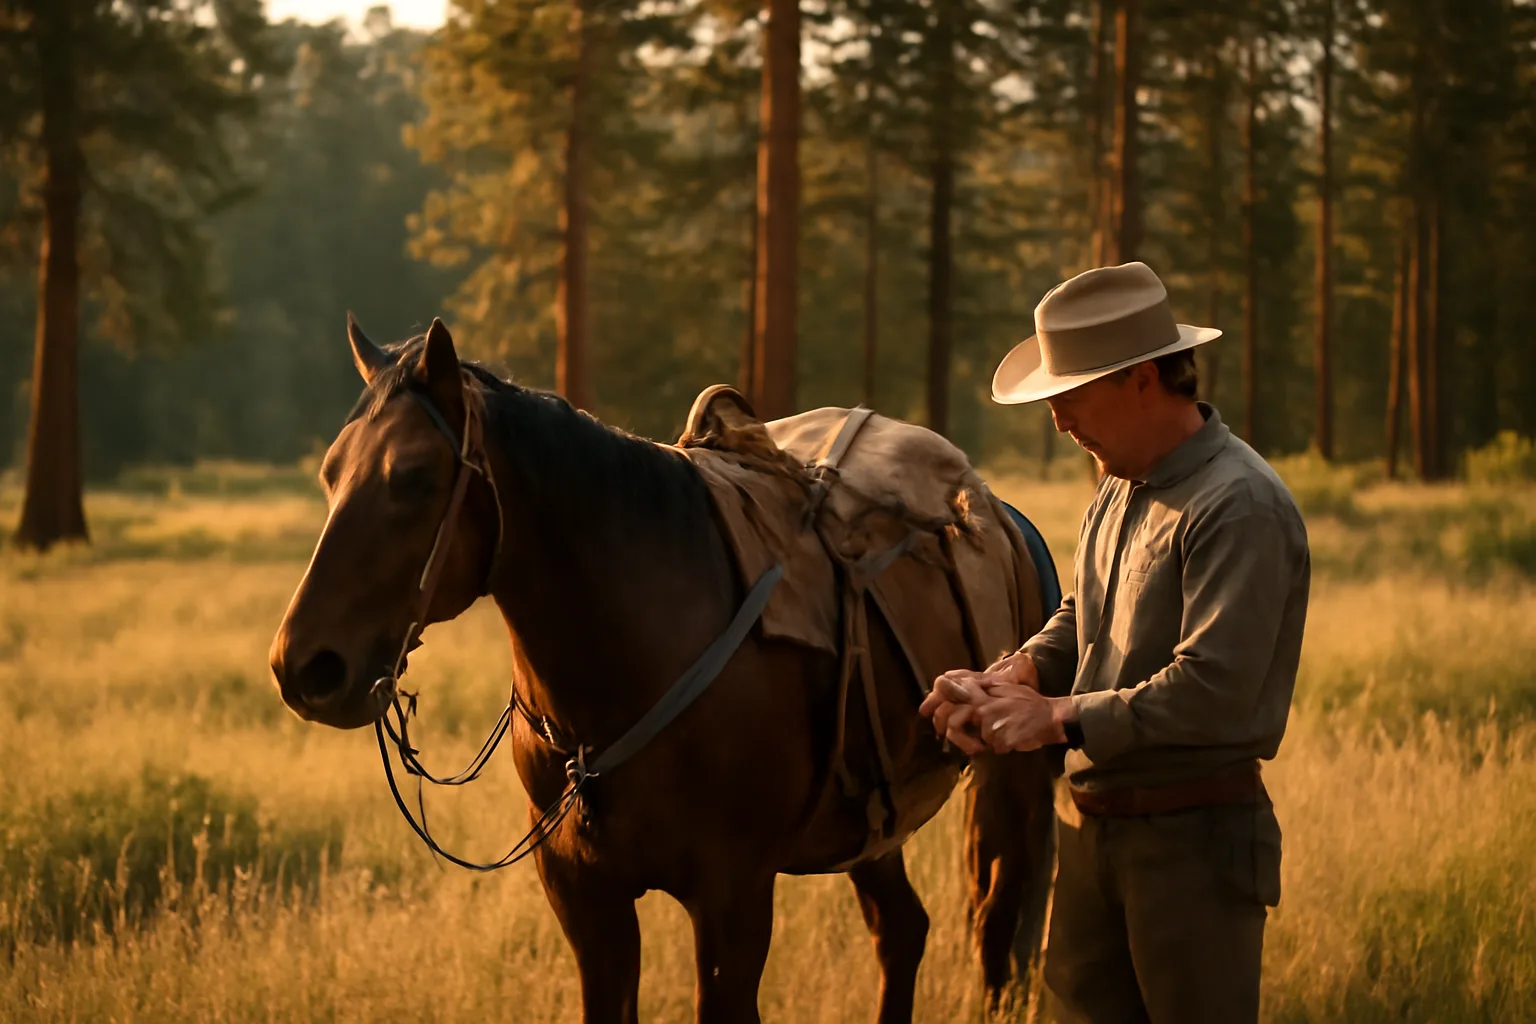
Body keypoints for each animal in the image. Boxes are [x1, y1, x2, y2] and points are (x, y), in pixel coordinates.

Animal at [268, 315, 1058, 1023]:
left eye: (413, 477)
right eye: (330, 473)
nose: (304, 667)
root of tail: (1005, 516)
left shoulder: (733, 900)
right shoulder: (587, 903)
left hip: (1008, 784)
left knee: (995, 932)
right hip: (874, 817)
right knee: (902, 932)